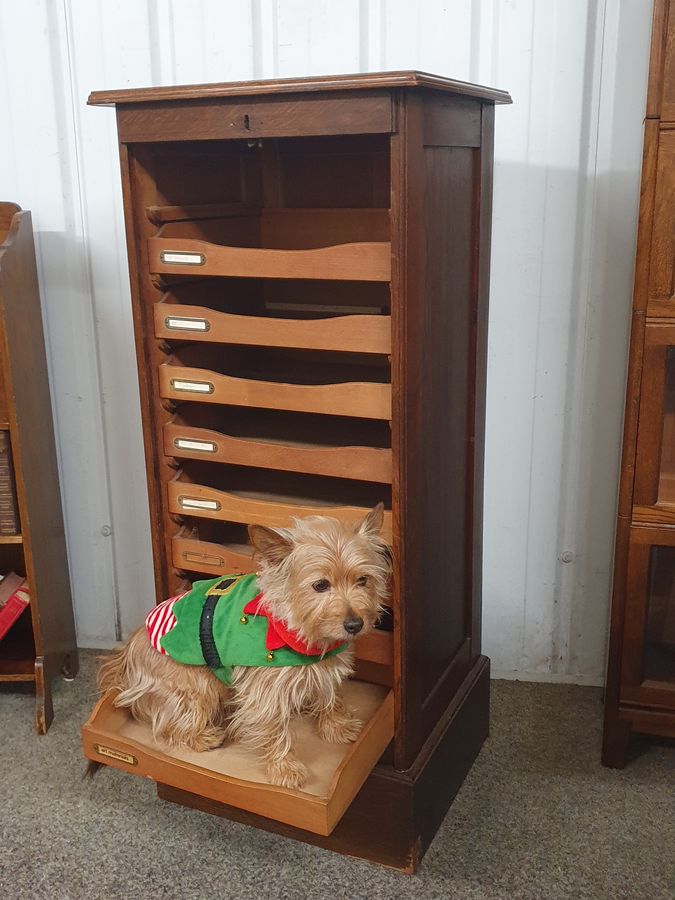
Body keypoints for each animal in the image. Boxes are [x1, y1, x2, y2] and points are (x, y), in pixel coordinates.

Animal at [97, 506, 388, 788]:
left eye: (363, 579)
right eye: (320, 585)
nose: (355, 624)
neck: (292, 628)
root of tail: (126, 654)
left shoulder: (326, 666)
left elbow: (330, 694)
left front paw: (337, 726)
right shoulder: (265, 690)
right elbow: (274, 727)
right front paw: (284, 768)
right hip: (194, 684)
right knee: (170, 722)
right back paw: (202, 736)